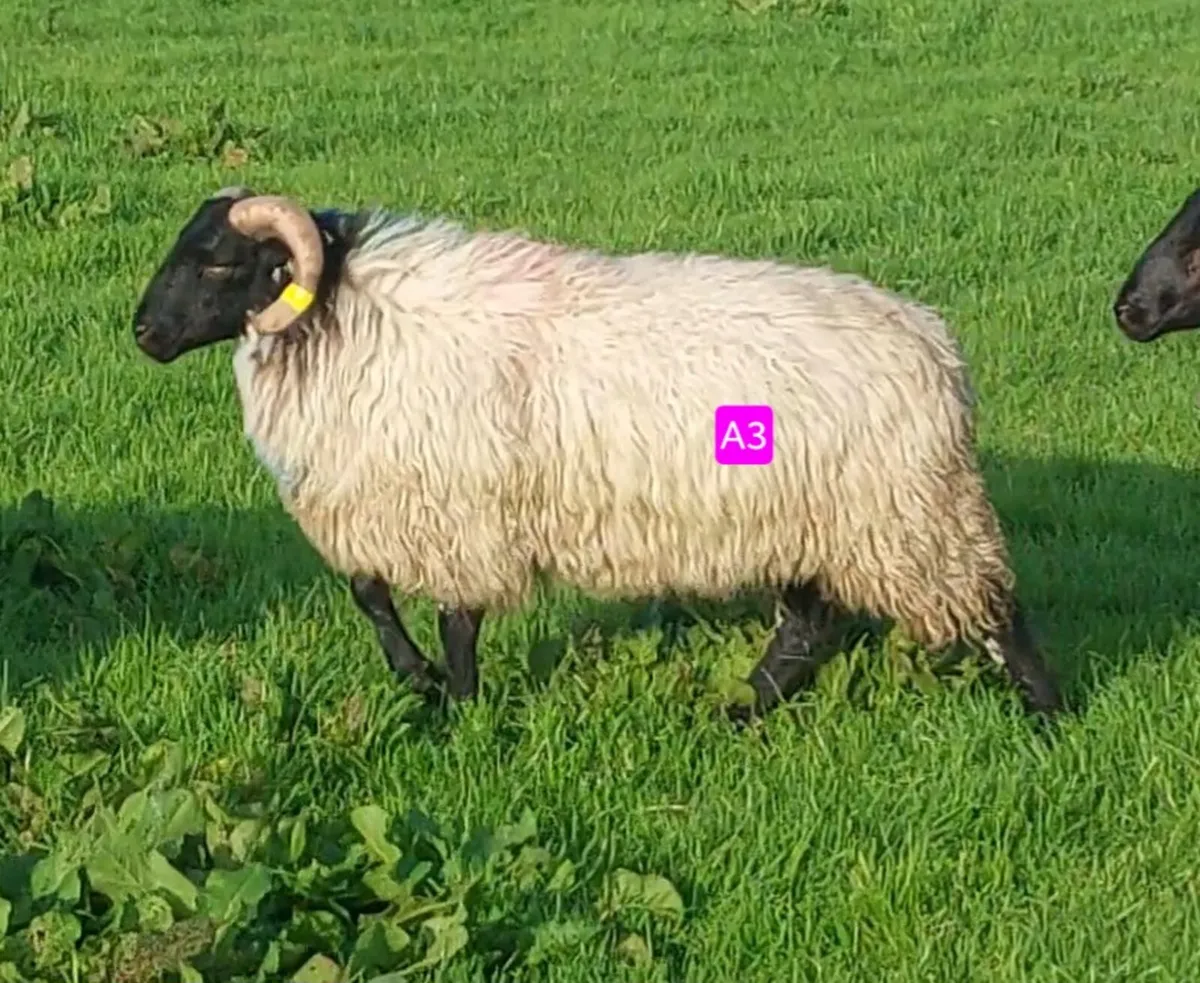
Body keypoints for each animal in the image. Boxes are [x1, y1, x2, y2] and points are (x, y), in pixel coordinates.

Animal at [130, 186, 1064, 723]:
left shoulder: (463, 514)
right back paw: (735, 713)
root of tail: (937, 348)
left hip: (910, 513)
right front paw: (419, 680)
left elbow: (455, 619)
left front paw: (459, 709)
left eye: (218, 262)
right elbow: (369, 594)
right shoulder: (392, 505)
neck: (350, 318)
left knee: (994, 608)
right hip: (823, 521)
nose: (143, 334)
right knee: (807, 629)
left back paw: (1050, 717)